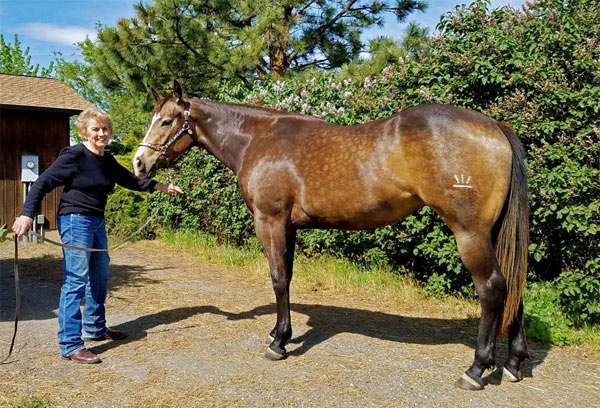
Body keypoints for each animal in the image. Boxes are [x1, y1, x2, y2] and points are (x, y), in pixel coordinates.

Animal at [132, 81, 528, 390]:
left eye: (166, 121)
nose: (138, 163)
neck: (257, 139)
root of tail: (495, 126)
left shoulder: (270, 222)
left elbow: (278, 279)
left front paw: (279, 343)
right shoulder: (288, 227)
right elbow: (288, 277)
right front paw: (279, 333)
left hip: (470, 234)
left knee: (493, 288)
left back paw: (476, 369)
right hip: (494, 234)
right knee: (514, 288)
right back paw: (513, 363)